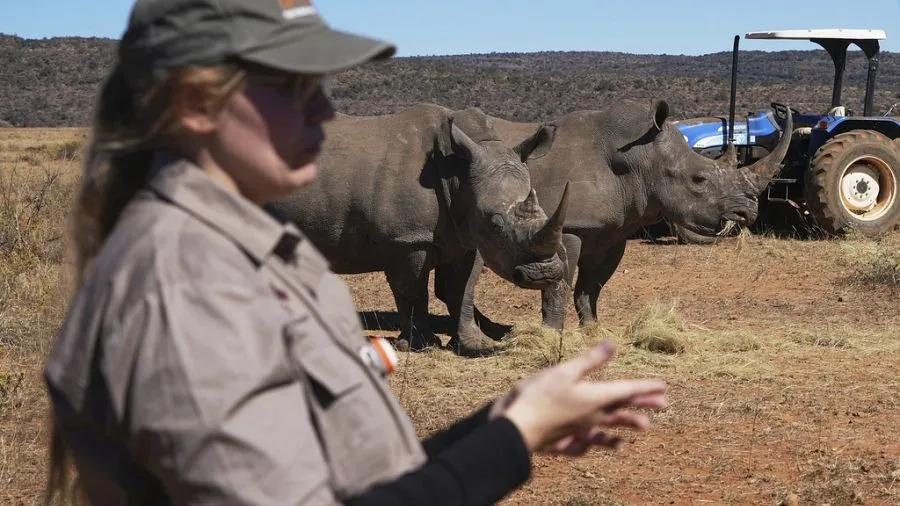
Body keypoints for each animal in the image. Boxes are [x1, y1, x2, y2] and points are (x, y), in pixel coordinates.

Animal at [264, 103, 571, 355]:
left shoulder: (466, 236)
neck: (458, 173)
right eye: (495, 223)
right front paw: (422, 345)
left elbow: (462, 290)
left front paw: (475, 344)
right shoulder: (408, 239)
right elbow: (412, 289)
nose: (545, 274)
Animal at [434, 99, 792, 333]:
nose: (748, 211)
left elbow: (593, 284)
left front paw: (593, 329)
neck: (641, 159)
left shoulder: (612, 231)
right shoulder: (569, 226)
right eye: (698, 179)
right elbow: (559, 284)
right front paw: (552, 334)